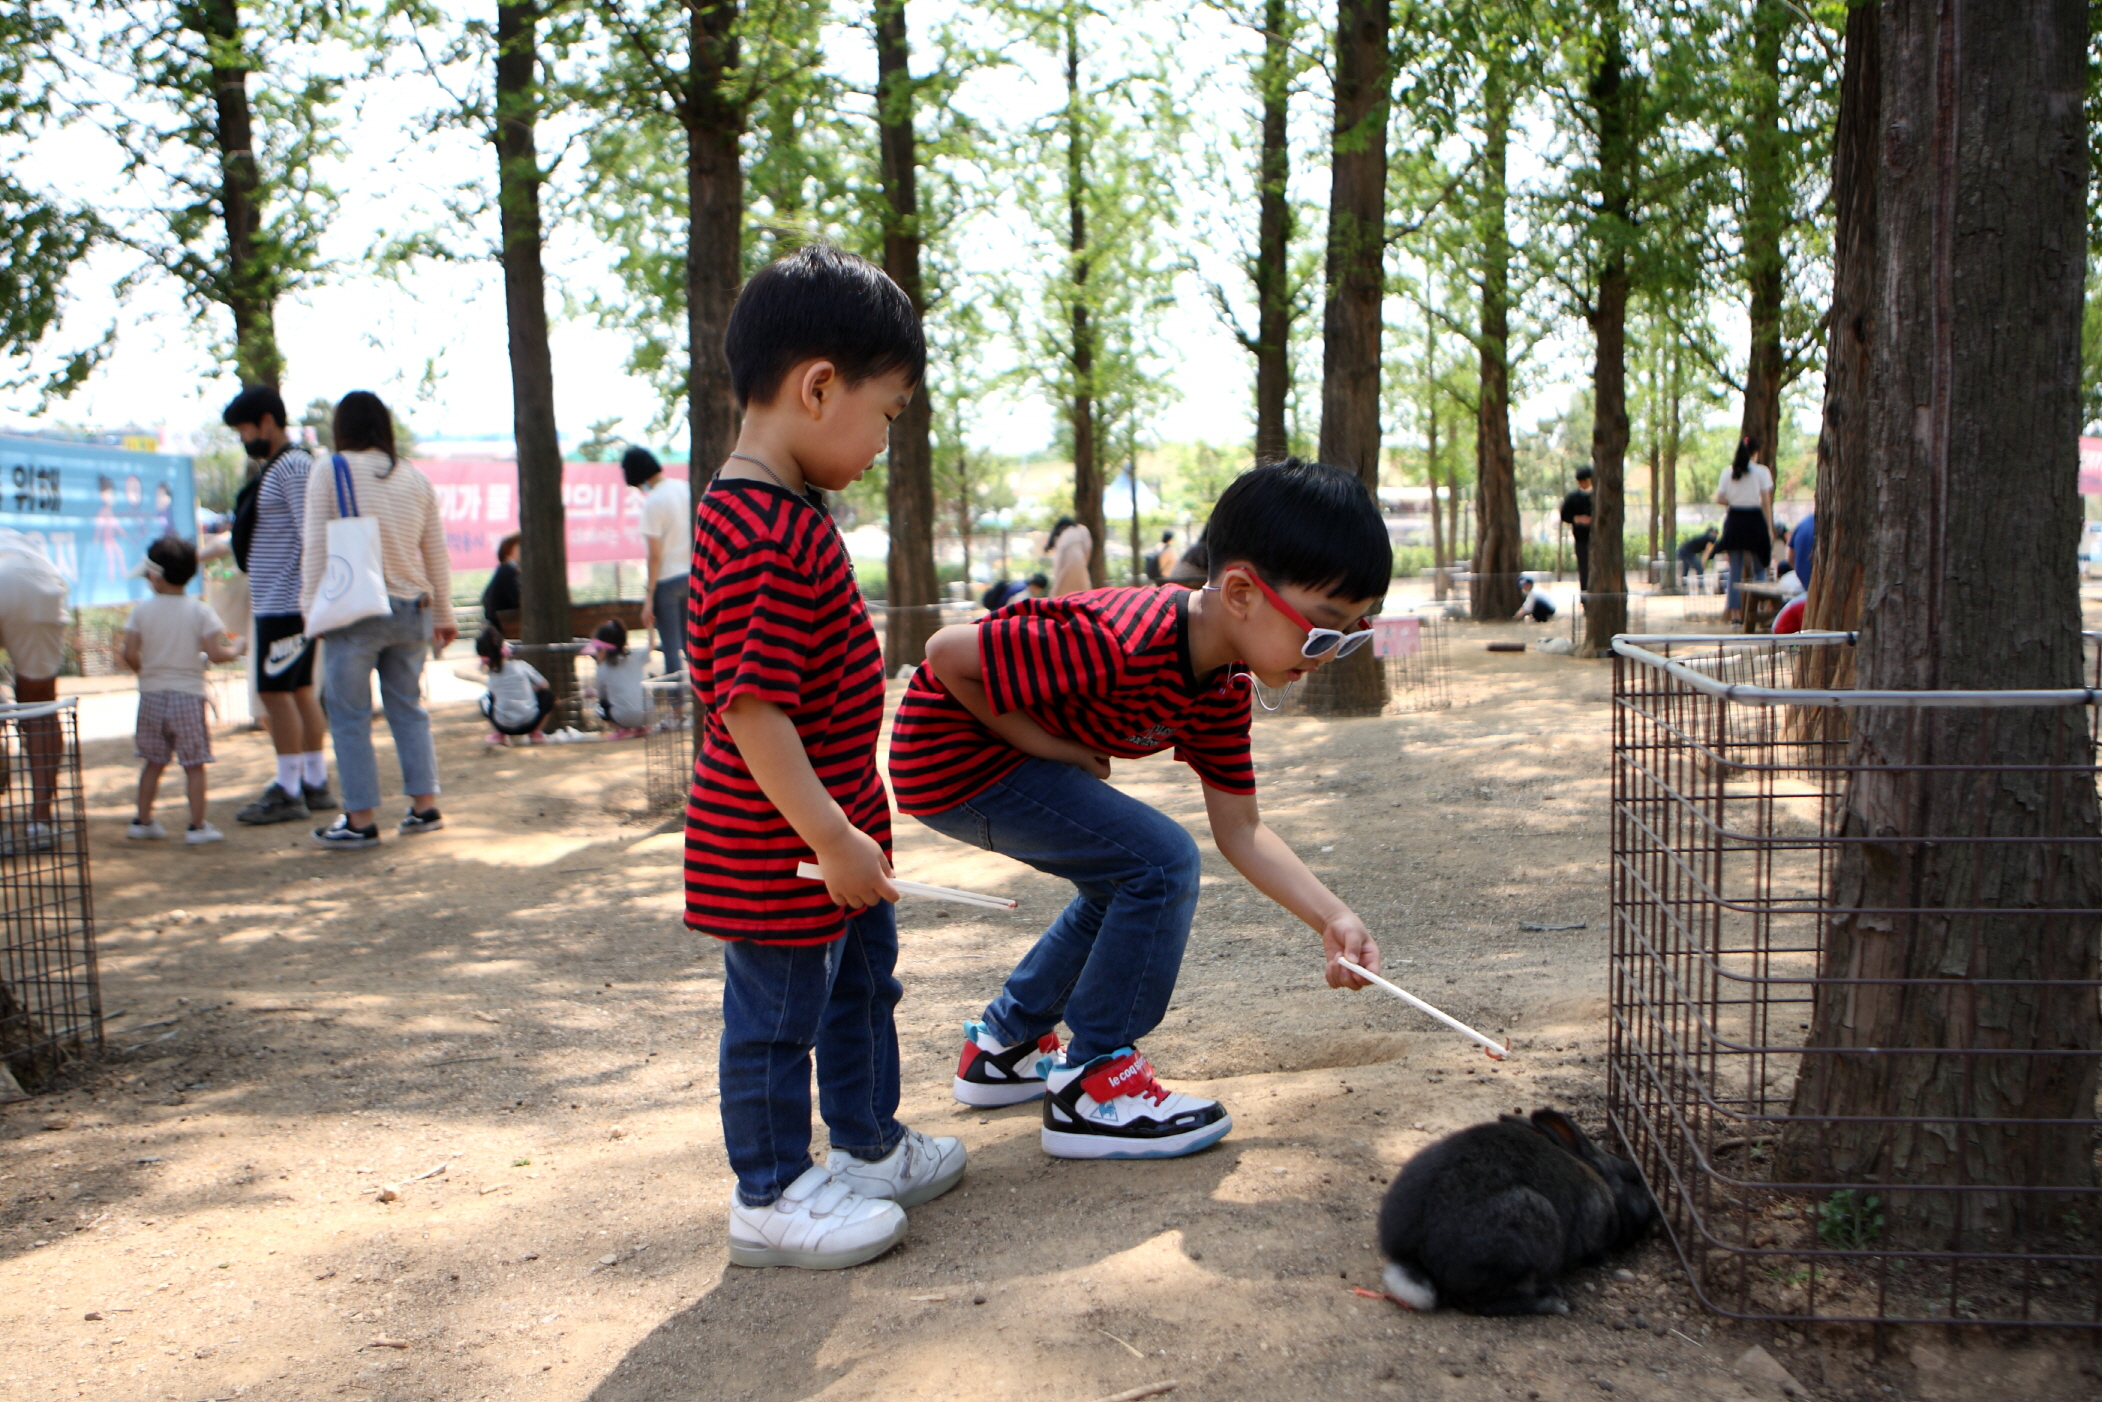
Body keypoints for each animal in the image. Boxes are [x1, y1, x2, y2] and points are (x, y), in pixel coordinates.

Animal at [1377, 1107, 1656, 1316]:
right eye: (1634, 1180)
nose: (1651, 1207)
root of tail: (1415, 1261)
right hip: (1524, 1233)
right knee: (1481, 1303)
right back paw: (1553, 1303)